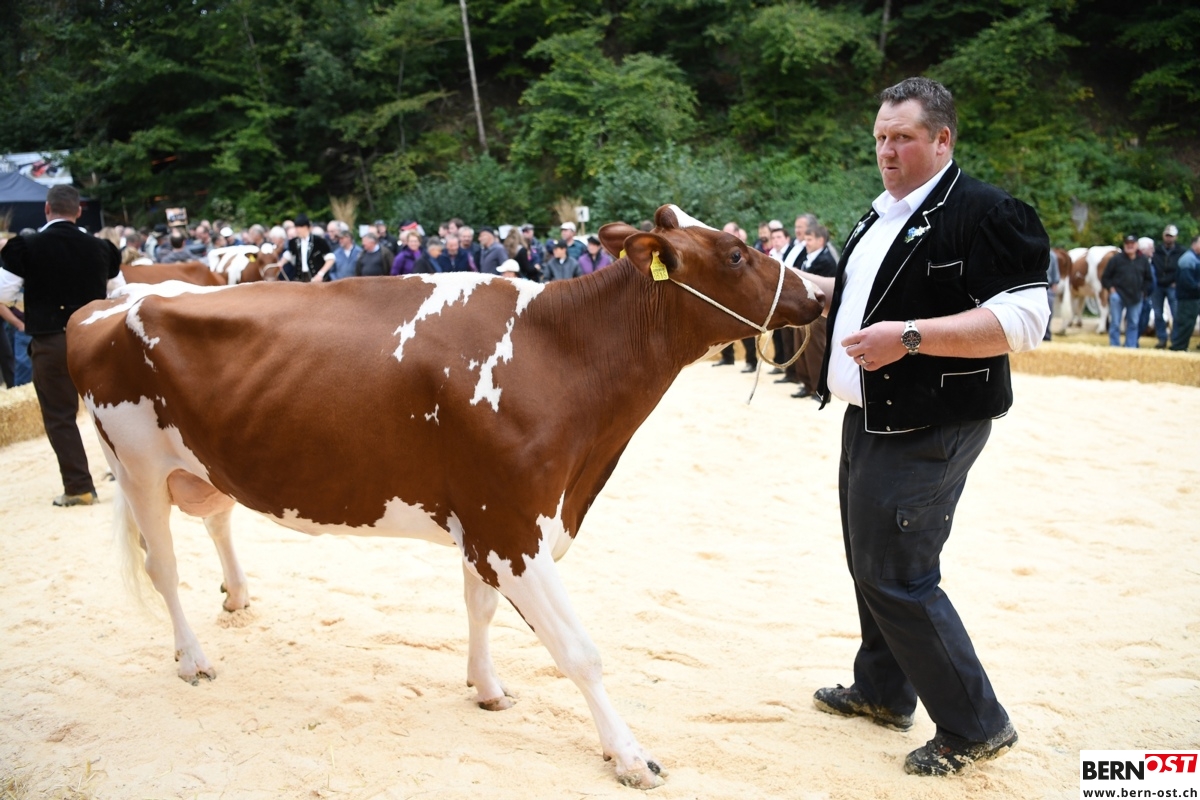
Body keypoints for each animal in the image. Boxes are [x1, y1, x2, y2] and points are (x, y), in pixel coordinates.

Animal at [66, 205, 825, 789]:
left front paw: (487, 689)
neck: (560, 355)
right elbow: (579, 651)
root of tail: (108, 301)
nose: (820, 287)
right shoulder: (512, 524)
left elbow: (479, 608)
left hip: (205, 462)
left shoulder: (486, 520)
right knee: (163, 568)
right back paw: (193, 659)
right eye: (734, 254)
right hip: (136, 466)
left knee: (218, 520)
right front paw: (630, 756)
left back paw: (237, 596)